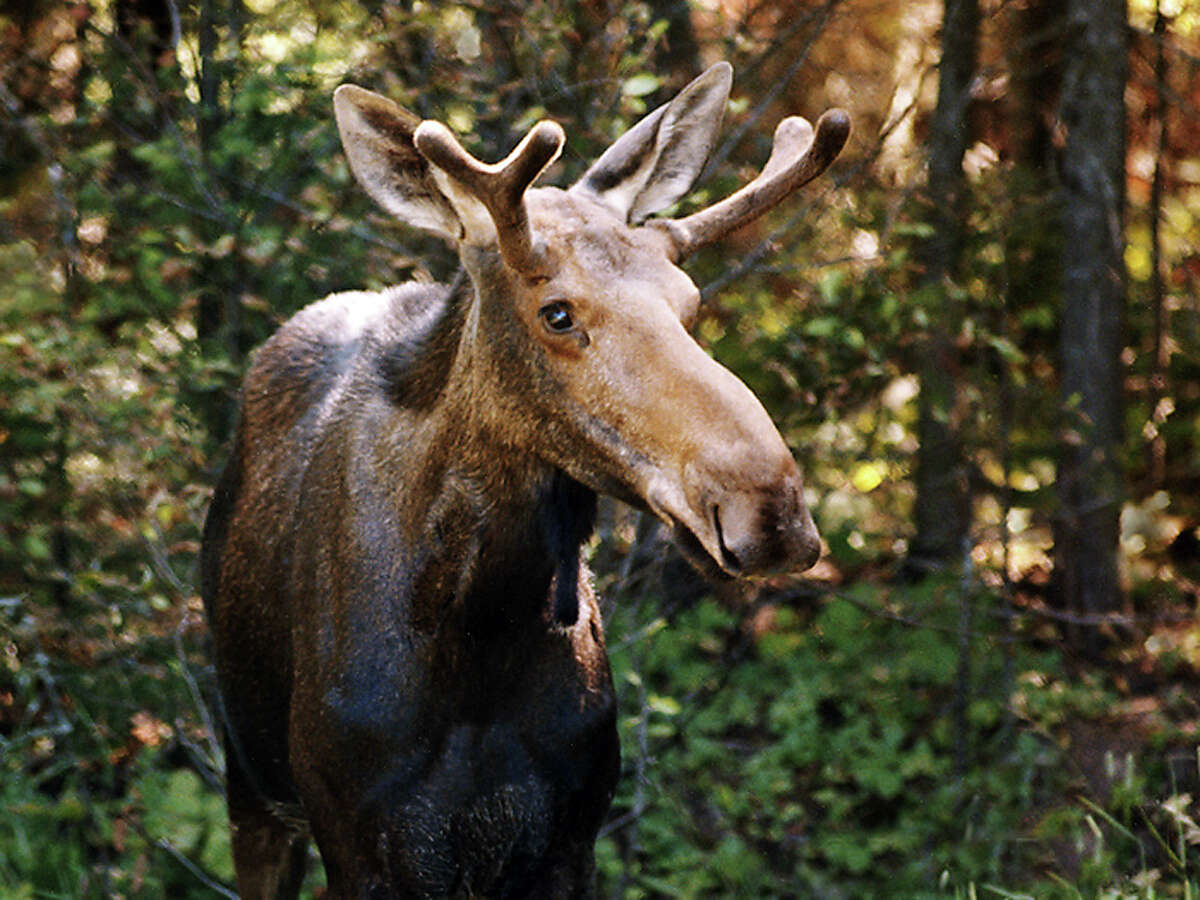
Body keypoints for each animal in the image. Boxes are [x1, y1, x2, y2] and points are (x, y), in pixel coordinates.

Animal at [200, 62, 849, 898]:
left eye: (689, 304)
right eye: (557, 313)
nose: (770, 510)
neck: (481, 638)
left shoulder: (569, 838)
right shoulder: (357, 842)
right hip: (248, 776)